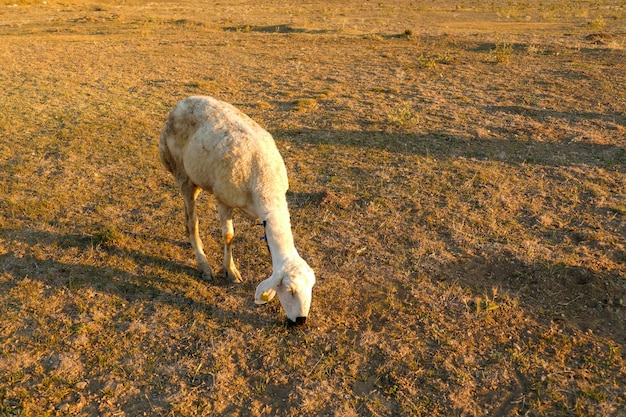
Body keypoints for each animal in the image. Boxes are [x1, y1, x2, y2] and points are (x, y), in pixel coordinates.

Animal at [158, 95, 314, 324]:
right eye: (290, 290)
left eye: (311, 288)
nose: (301, 320)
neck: (265, 184)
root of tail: (181, 103)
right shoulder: (224, 200)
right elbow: (229, 236)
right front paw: (230, 271)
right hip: (181, 173)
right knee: (191, 221)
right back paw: (203, 264)